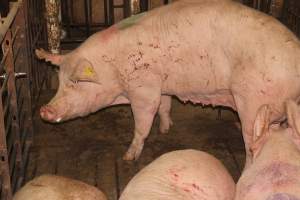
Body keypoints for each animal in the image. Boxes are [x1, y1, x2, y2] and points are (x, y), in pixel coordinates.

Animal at [35, 0, 300, 166]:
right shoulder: (161, 84)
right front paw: (165, 128)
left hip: (254, 102)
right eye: (60, 81)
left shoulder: (144, 88)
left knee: (254, 141)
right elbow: (164, 106)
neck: (113, 67)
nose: (44, 110)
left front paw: (128, 157)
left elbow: (143, 123)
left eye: (76, 81)